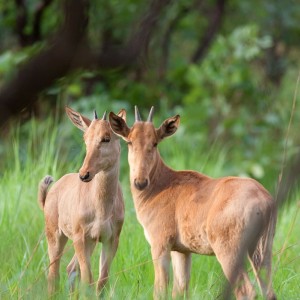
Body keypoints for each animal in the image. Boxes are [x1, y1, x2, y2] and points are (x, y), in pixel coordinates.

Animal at [37, 106, 125, 296]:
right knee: (54, 274)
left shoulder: (110, 239)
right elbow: (88, 279)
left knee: (70, 269)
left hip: (90, 242)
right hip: (56, 236)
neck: (102, 208)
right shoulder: (80, 238)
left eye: (106, 138)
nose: (84, 174)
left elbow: (102, 281)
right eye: (85, 138)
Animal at [108, 107, 276, 300]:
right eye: (129, 141)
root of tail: (264, 200)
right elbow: (180, 289)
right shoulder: (182, 251)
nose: (140, 182)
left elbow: (160, 290)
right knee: (268, 291)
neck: (162, 184)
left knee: (246, 290)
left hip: (230, 251)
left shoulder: (160, 244)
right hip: (262, 251)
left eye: (155, 142)